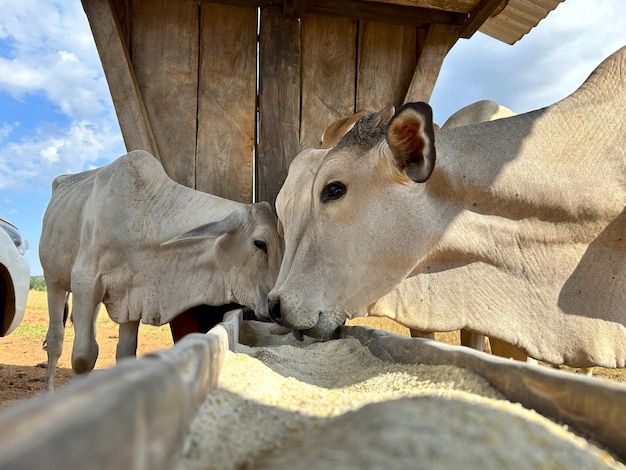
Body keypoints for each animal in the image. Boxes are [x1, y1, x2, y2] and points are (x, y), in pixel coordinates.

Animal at [40, 151, 282, 390]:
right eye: (259, 243)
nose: (274, 307)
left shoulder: (131, 297)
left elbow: (126, 353)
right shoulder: (86, 283)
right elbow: (83, 357)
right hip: (54, 282)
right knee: (55, 338)